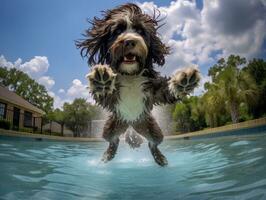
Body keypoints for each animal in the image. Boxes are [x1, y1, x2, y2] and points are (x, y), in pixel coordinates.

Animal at [75, 3, 200, 166]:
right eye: (118, 31)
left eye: (140, 31)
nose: (129, 41)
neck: (130, 75)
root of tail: (130, 123)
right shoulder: (110, 98)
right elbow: (103, 92)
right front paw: (102, 80)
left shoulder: (152, 88)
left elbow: (165, 90)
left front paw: (182, 82)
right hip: (111, 126)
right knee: (113, 140)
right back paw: (108, 155)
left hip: (150, 126)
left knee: (153, 143)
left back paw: (159, 158)